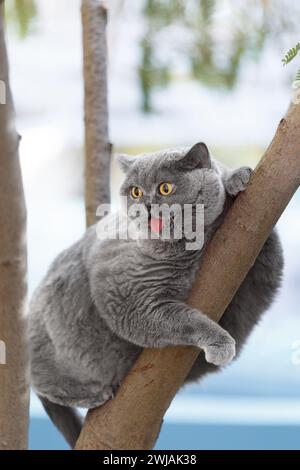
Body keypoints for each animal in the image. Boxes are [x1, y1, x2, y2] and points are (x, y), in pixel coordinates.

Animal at [28, 143, 284, 448]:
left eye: (165, 188)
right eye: (136, 191)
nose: (146, 206)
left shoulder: (251, 282)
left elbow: (265, 242)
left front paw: (236, 179)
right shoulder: (129, 298)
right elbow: (184, 320)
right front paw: (219, 342)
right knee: (41, 383)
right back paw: (95, 394)